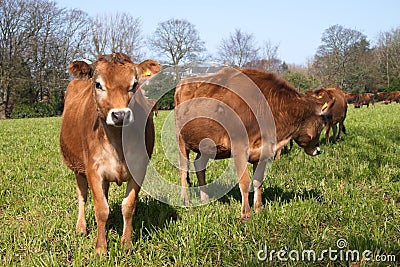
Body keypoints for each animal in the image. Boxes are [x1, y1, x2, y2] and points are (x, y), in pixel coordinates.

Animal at [59, 52, 159, 255]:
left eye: (134, 84)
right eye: (98, 84)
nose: (120, 115)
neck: (117, 143)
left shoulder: (139, 169)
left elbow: (128, 206)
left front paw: (126, 244)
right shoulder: (92, 170)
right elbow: (100, 209)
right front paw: (100, 248)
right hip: (77, 167)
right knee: (82, 196)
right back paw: (81, 227)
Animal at [175, 68, 334, 221]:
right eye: (322, 123)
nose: (318, 150)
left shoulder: (263, 151)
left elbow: (258, 181)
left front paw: (259, 209)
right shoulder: (239, 149)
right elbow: (245, 182)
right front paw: (246, 213)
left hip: (205, 146)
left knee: (199, 165)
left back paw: (205, 198)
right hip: (181, 140)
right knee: (183, 170)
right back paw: (186, 200)